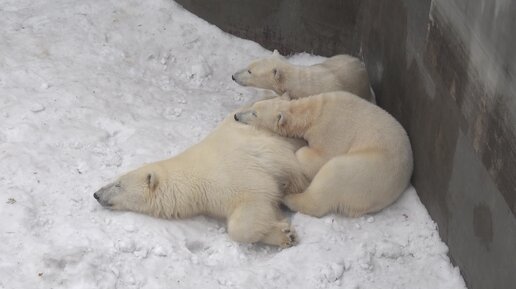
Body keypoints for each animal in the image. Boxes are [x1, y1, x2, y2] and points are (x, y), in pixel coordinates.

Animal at [93, 112, 308, 245]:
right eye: (114, 180)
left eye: (118, 184)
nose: (96, 194)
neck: (195, 179)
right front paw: (283, 232)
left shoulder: (239, 176)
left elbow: (249, 211)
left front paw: (285, 233)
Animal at [236, 91, 414, 217]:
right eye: (253, 106)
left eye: (254, 114)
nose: (236, 116)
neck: (313, 112)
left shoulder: (330, 131)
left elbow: (319, 156)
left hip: (368, 172)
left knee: (331, 177)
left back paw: (288, 197)